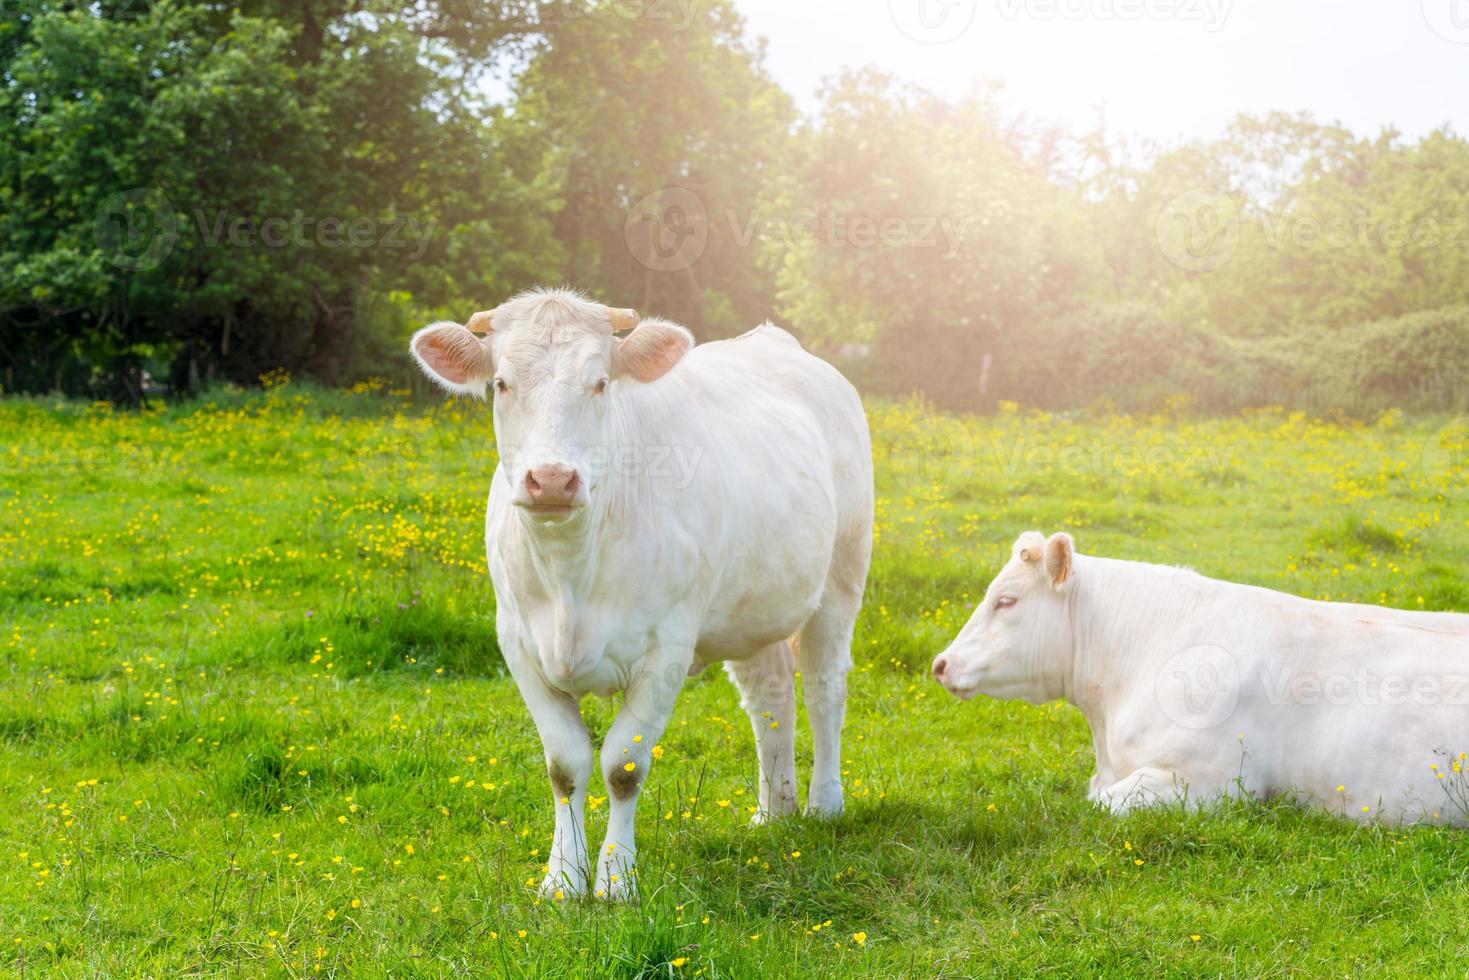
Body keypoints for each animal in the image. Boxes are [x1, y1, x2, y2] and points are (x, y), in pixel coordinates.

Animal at [411, 287, 869, 899]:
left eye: (601, 382)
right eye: (502, 383)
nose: (551, 480)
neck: (569, 577)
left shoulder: (666, 649)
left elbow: (623, 767)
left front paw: (616, 882)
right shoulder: (518, 644)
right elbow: (565, 766)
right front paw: (562, 880)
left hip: (842, 573)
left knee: (823, 688)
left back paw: (824, 803)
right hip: (752, 605)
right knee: (769, 694)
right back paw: (774, 810)